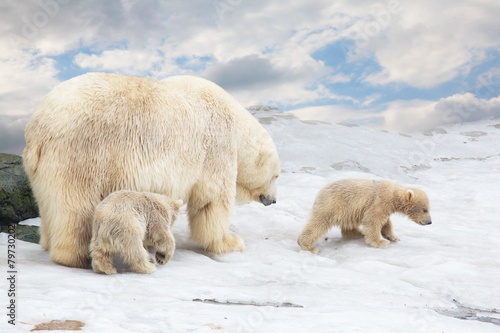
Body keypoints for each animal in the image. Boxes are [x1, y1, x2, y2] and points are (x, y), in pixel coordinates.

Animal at [24, 72, 282, 268]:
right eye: (276, 175)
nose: (274, 200)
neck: (236, 123)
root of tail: (38, 125)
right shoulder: (216, 146)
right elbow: (212, 200)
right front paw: (231, 242)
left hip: (41, 170)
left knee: (48, 205)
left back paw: (47, 242)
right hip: (83, 154)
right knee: (77, 207)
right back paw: (76, 256)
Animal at [298, 179, 432, 252]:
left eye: (428, 209)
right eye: (425, 210)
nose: (430, 222)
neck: (393, 194)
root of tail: (319, 193)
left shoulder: (385, 207)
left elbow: (386, 222)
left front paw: (393, 237)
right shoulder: (379, 201)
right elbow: (373, 220)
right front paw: (380, 242)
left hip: (346, 211)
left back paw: (359, 233)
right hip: (332, 205)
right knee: (318, 223)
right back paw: (307, 246)